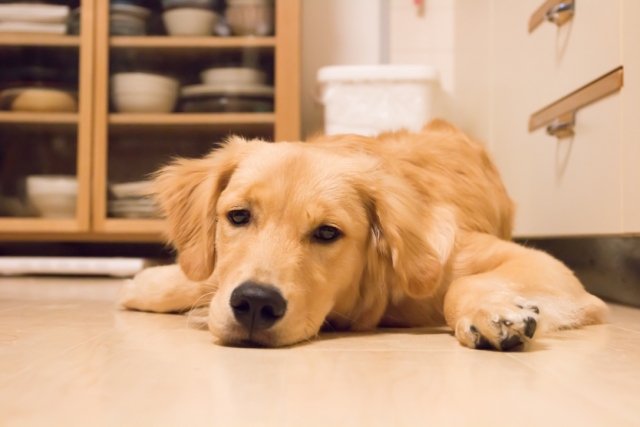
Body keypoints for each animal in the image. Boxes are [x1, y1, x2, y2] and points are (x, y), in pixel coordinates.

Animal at [119, 119, 604, 352]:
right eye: (238, 216)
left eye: (327, 232)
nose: (255, 303)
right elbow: (206, 276)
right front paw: (152, 282)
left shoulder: (545, 266)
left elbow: (465, 283)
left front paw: (492, 313)